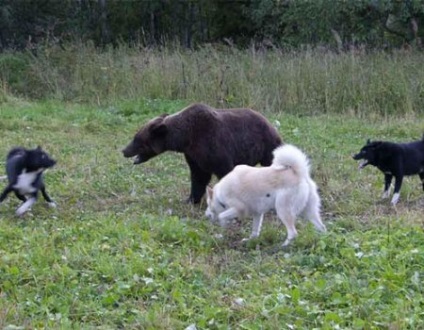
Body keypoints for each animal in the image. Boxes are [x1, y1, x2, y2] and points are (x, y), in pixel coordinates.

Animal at [122, 103, 282, 202]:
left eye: (137, 140)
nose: (124, 151)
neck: (185, 138)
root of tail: (269, 122)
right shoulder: (194, 155)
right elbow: (199, 176)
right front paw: (190, 199)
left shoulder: (213, 145)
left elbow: (223, 170)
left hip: (266, 145)